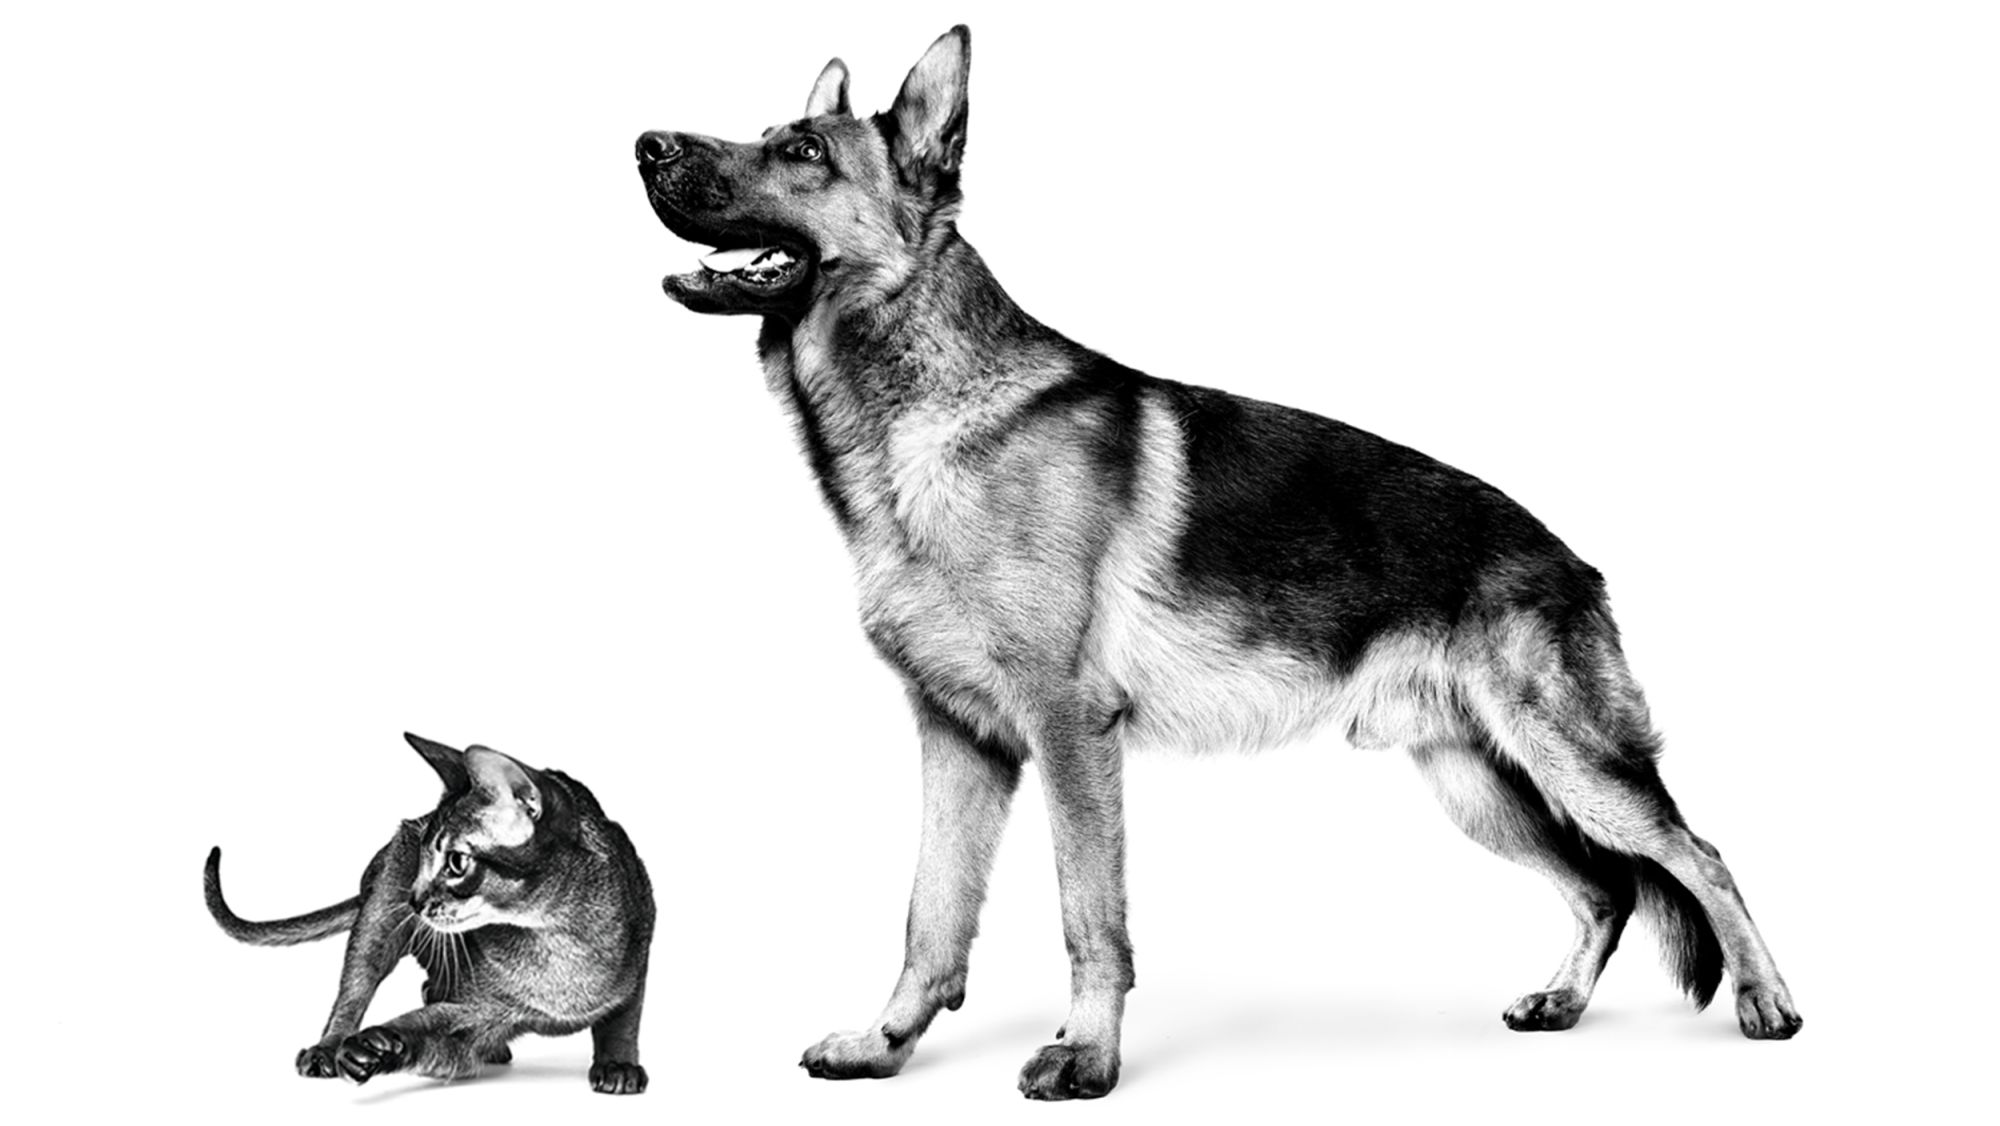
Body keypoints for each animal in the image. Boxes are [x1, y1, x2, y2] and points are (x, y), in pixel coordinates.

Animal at [198, 732, 648, 1096]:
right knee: (356, 987)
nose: (414, 900)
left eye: (455, 863)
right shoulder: (472, 1013)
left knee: (429, 985)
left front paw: (618, 1066)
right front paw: (373, 1047)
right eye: (422, 856)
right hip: (378, 923)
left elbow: (622, 1022)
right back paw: (328, 1048)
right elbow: (423, 1026)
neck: (556, 941)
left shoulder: (638, 964)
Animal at [632, 24, 1808, 1104]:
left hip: (1571, 762)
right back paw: (1561, 1000)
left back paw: (1768, 1001)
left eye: (801, 153)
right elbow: (931, 910)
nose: (644, 143)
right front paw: (885, 1044)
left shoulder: (1068, 730)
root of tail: (1572, 558)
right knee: (1606, 890)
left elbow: (1087, 914)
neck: (921, 417)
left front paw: (1087, 1057)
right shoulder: (959, 739)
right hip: (1479, 784)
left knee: (1695, 854)